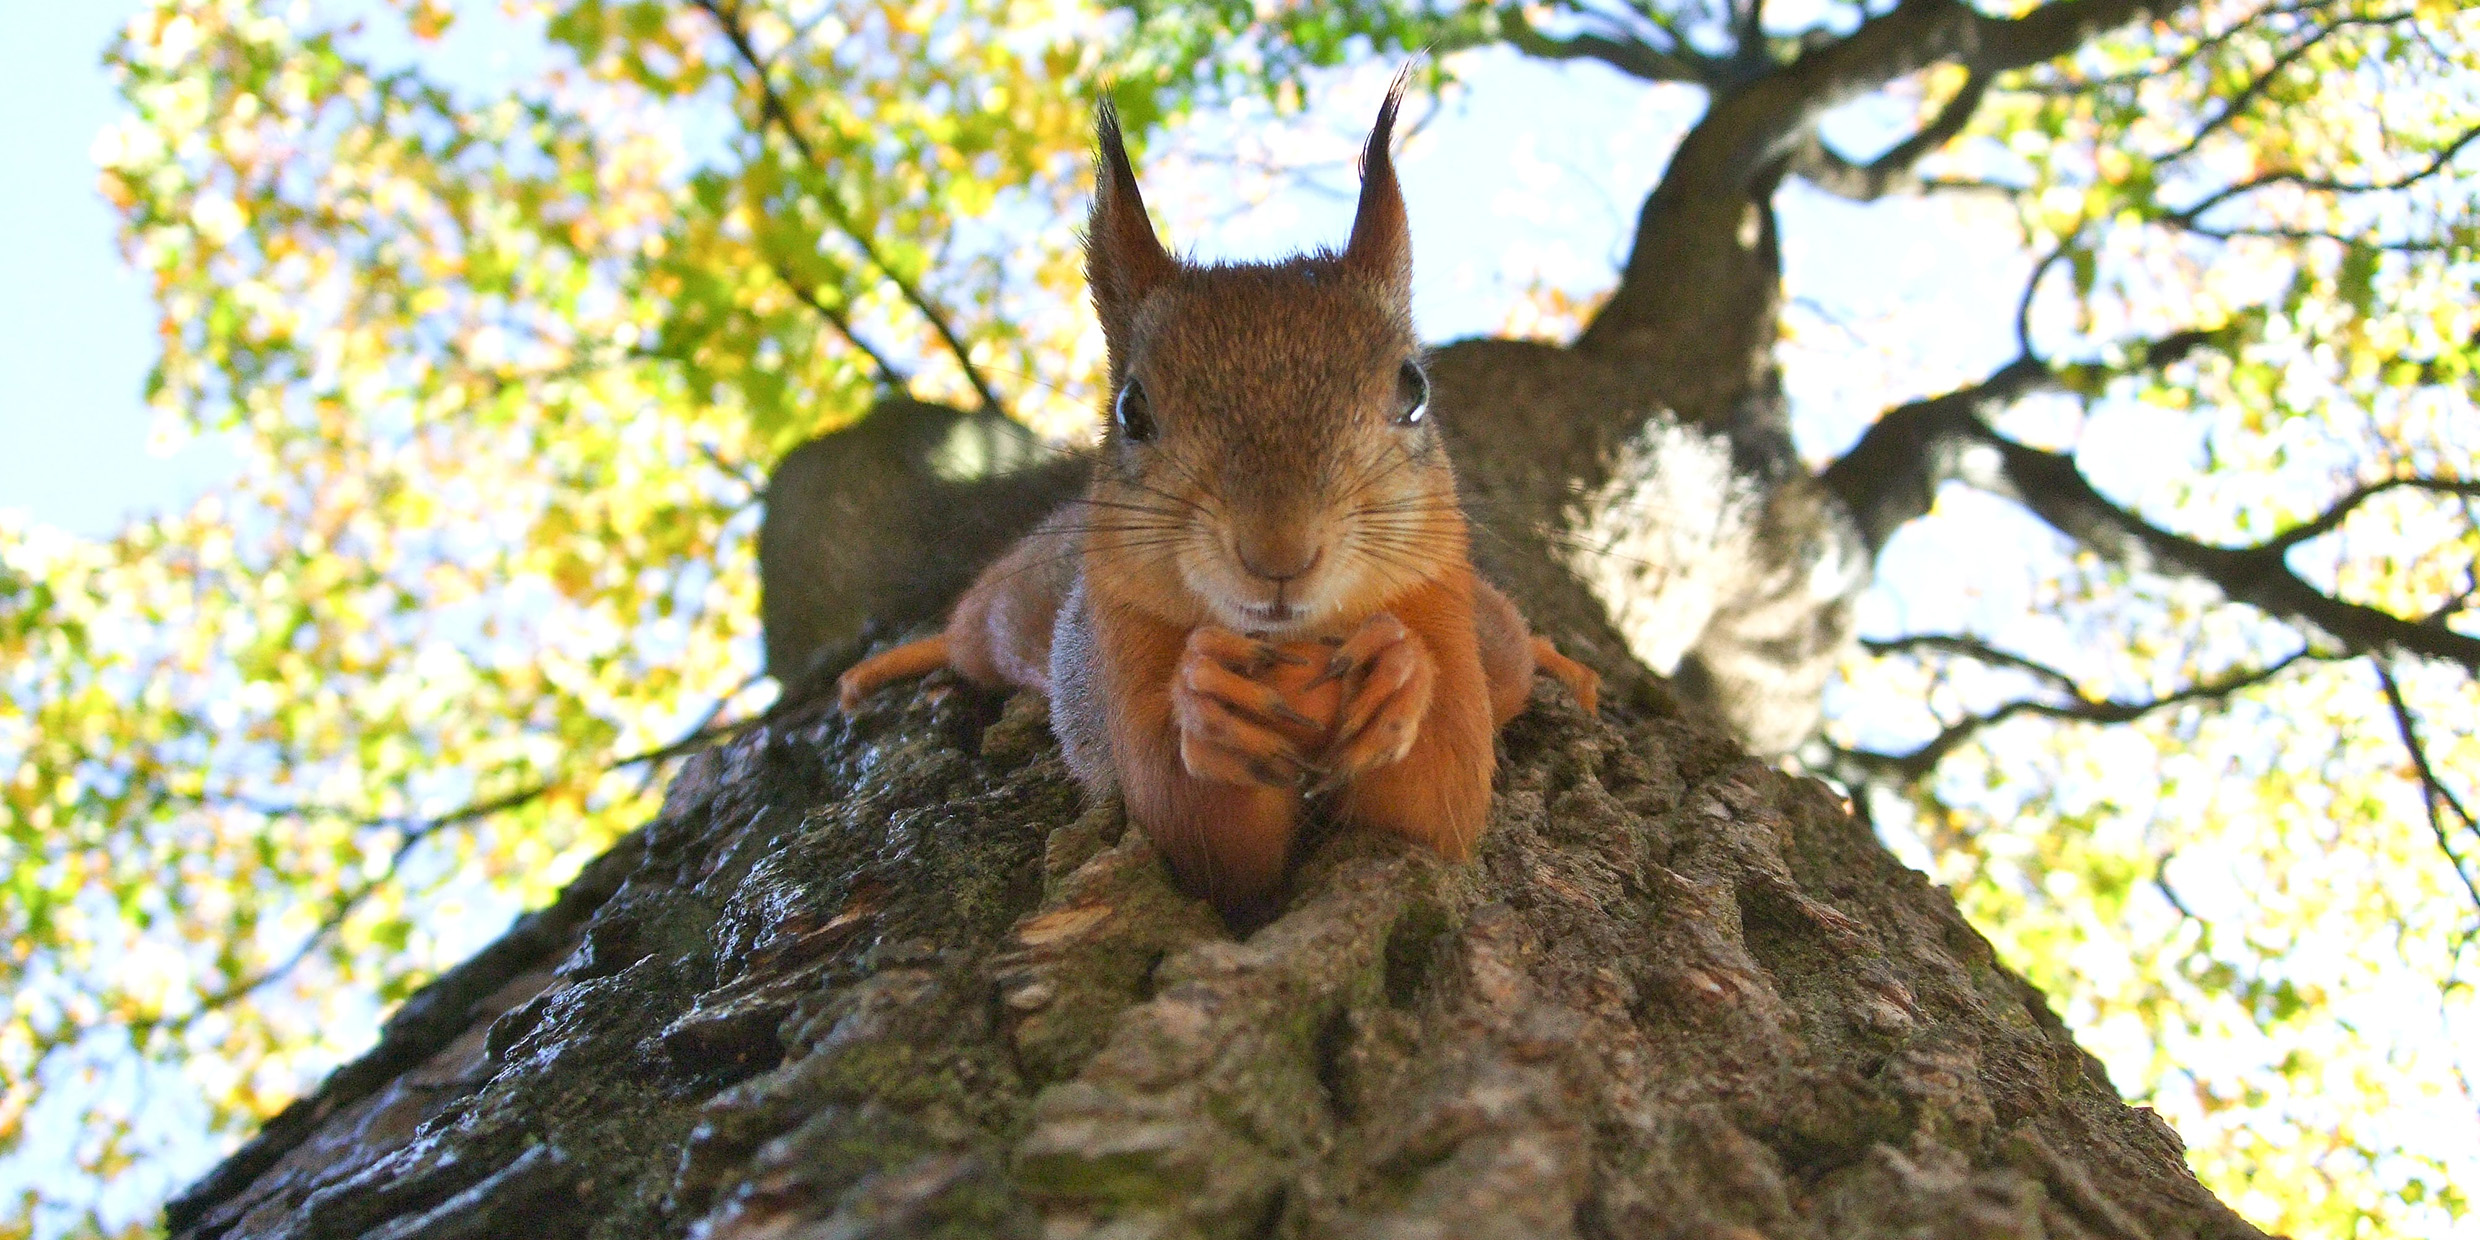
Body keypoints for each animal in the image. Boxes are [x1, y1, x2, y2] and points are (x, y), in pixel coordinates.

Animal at [843, 82, 1597, 917]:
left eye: (1414, 390)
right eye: (1132, 410)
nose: (1278, 553)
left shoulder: (1441, 608)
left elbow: (1438, 804)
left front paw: (1400, 671)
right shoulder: (1123, 648)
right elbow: (1204, 837)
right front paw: (1207, 700)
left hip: (1490, 633)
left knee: (1513, 648)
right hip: (1013, 613)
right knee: (967, 635)